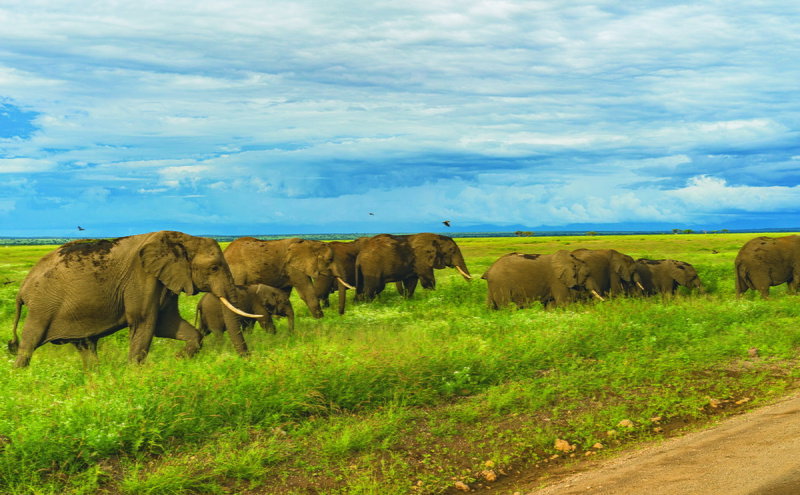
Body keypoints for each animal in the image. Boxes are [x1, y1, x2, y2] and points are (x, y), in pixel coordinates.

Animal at [8, 231, 259, 368]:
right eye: (214, 267)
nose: (247, 361)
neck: (182, 238)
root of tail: (22, 289)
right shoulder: (142, 278)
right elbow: (144, 324)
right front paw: (133, 375)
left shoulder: (164, 281)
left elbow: (169, 325)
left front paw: (176, 359)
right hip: (42, 306)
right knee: (29, 343)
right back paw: (19, 377)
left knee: (85, 345)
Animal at [223, 237, 352, 318]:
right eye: (330, 259)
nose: (340, 315)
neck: (310, 243)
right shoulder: (294, 268)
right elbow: (307, 293)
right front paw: (321, 321)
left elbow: (284, 295)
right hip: (236, 273)